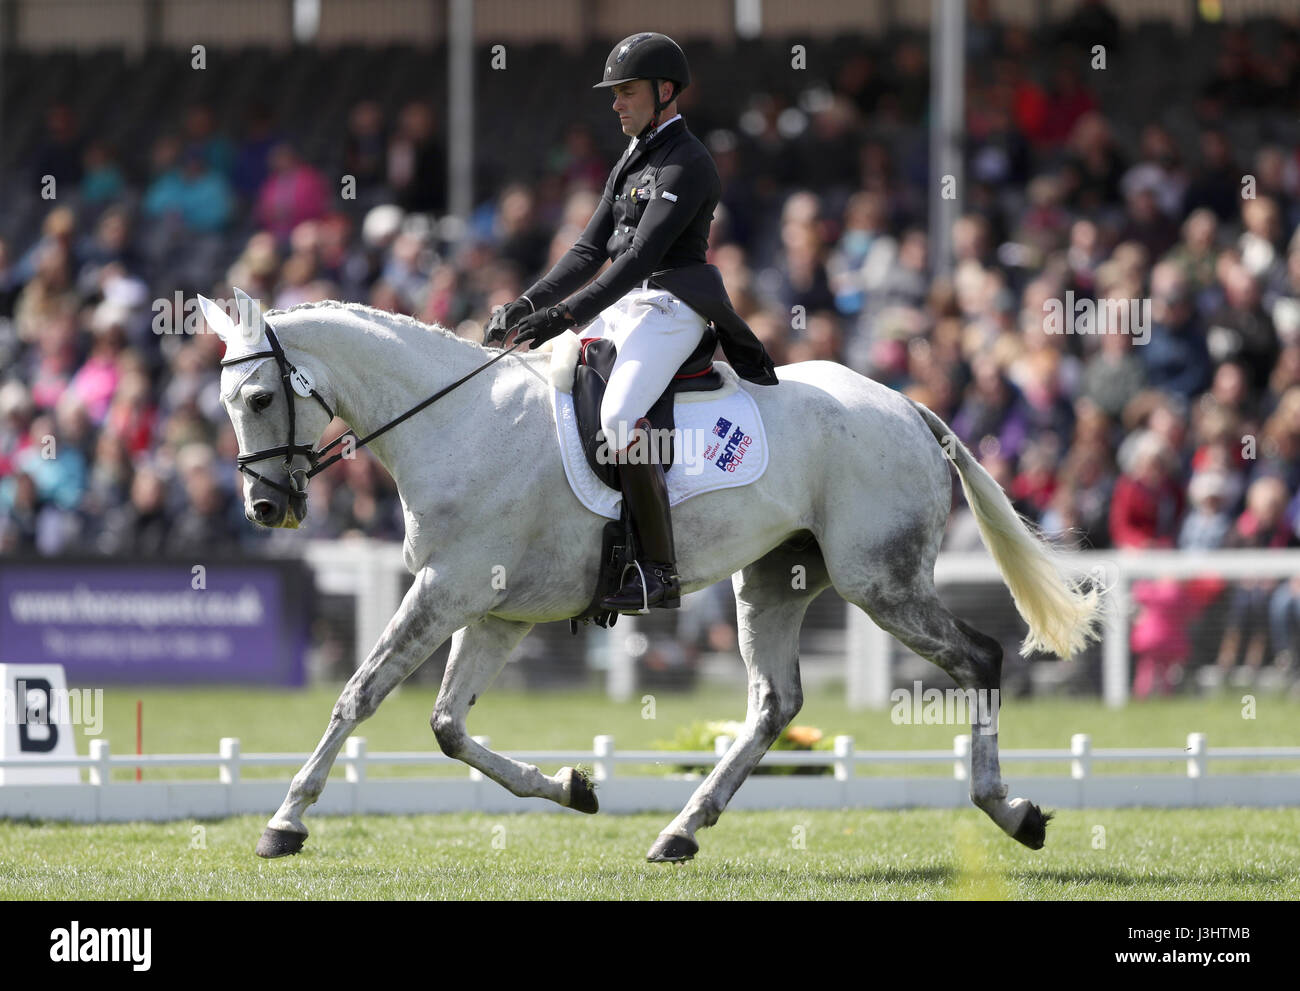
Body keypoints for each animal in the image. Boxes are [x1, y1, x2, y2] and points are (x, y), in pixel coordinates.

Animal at [197, 291, 1102, 858]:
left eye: (259, 398)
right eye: (229, 402)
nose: (265, 506)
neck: (457, 421)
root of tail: (904, 405)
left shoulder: (448, 590)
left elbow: (360, 693)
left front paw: (284, 821)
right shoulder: (495, 611)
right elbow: (449, 726)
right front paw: (572, 785)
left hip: (881, 581)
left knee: (979, 657)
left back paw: (1012, 811)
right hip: (776, 577)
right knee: (775, 704)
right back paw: (680, 831)